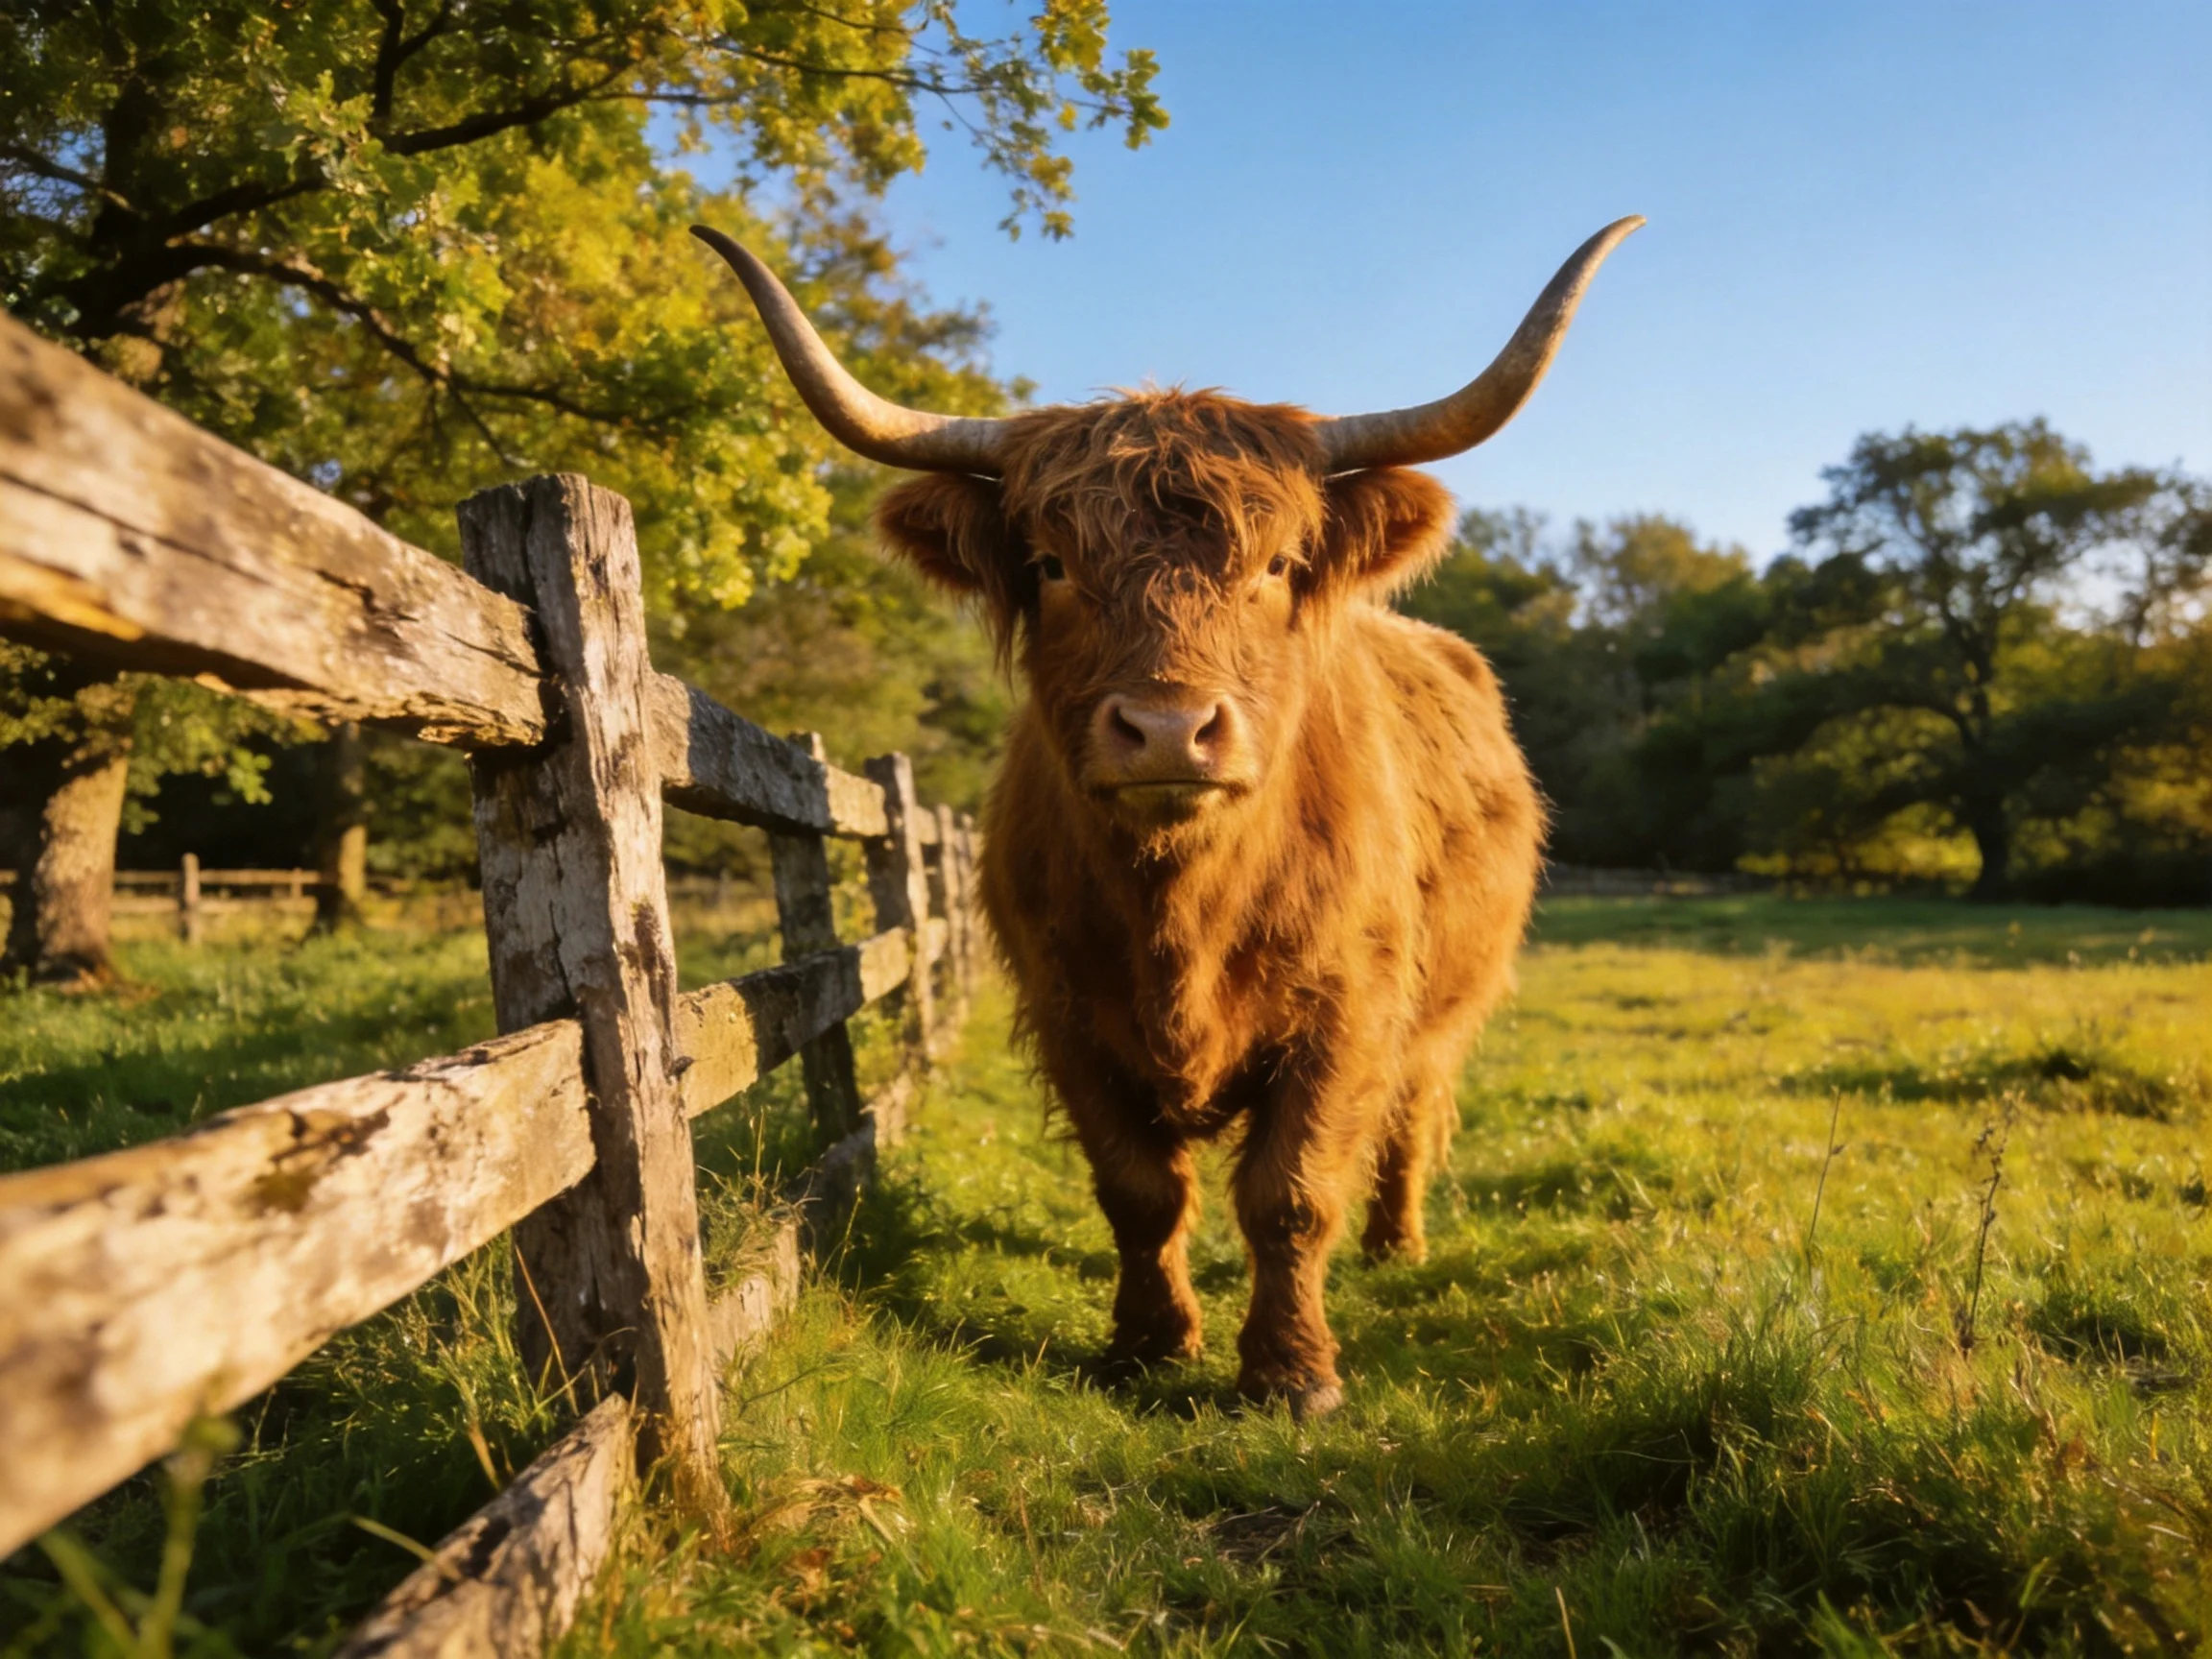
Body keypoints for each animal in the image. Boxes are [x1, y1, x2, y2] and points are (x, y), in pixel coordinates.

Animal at [696, 218, 1641, 1417]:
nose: (1166, 729)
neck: (1180, 907)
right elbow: (1139, 1191)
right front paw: (1150, 1343)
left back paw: (1397, 1244)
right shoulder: (1069, 1014)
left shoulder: (1347, 1009)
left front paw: (1292, 1371)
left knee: (1412, 1111)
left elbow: (1291, 1192)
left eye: (1278, 564)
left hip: (1445, 1005)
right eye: (1051, 564)